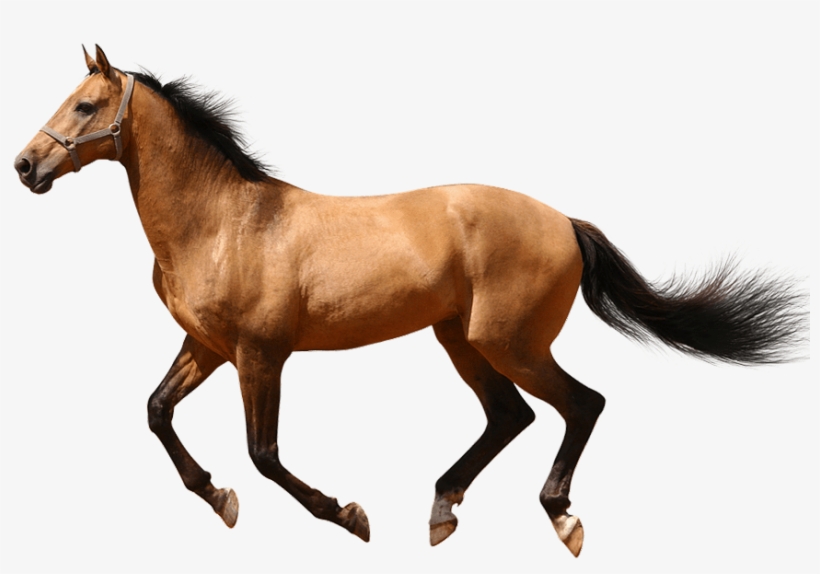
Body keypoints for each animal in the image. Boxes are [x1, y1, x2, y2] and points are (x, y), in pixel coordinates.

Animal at [13, 45, 806, 558]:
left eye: (86, 105)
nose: (25, 166)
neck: (223, 223)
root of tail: (563, 221)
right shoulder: (206, 347)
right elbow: (156, 412)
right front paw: (218, 498)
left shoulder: (260, 355)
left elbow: (264, 454)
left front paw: (349, 516)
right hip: (459, 338)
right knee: (511, 415)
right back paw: (442, 510)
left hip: (507, 341)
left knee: (582, 404)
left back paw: (560, 520)